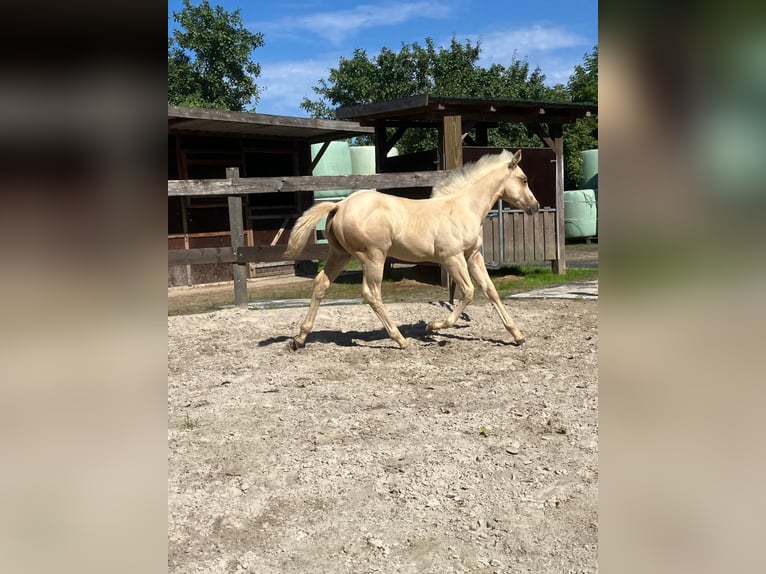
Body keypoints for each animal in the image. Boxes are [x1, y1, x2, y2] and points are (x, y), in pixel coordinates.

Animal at [283, 149, 540, 350]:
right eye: (524, 179)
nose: (535, 207)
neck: (462, 208)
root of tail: (340, 205)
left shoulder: (473, 256)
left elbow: (490, 291)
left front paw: (517, 335)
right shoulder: (452, 257)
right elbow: (468, 292)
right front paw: (433, 326)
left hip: (341, 254)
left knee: (321, 283)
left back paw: (300, 338)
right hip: (373, 256)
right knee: (371, 293)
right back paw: (400, 340)